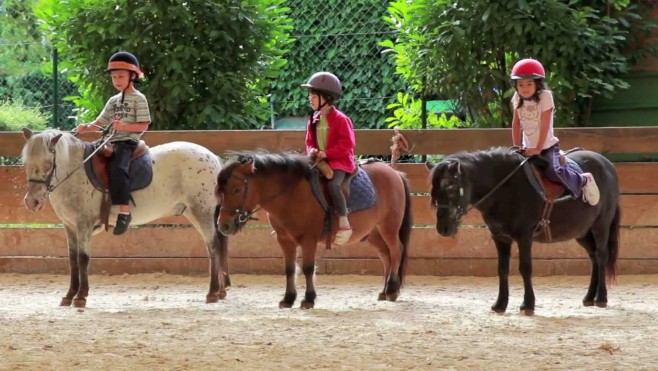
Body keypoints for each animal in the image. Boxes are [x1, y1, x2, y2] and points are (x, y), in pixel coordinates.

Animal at [215, 150, 410, 308]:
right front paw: (288, 299)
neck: (291, 195)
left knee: (396, 251)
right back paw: (384, 291)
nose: (223, 225)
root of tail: (395, 173)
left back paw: (392, 289)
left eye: (237, 189)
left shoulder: (308, 239)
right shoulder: (284, 240)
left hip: (389, 227)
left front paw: (308, 299)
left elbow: (308, 268)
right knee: (385, 255)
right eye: (221, 191)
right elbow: (289, 269)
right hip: (373, 232)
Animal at [428, 147, 616, 316]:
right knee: (593, 257)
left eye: (450, 187)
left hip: (600, 226)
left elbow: (525, 268)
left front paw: (528, 305)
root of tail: (606, 163)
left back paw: (601, 298)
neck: (505, 190)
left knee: (601, 255)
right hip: (582, 232)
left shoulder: (524, 237)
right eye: (433, 190)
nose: (443, 228)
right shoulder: (500, 237)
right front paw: (500, 304)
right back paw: (589, 297)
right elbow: (502, 269)